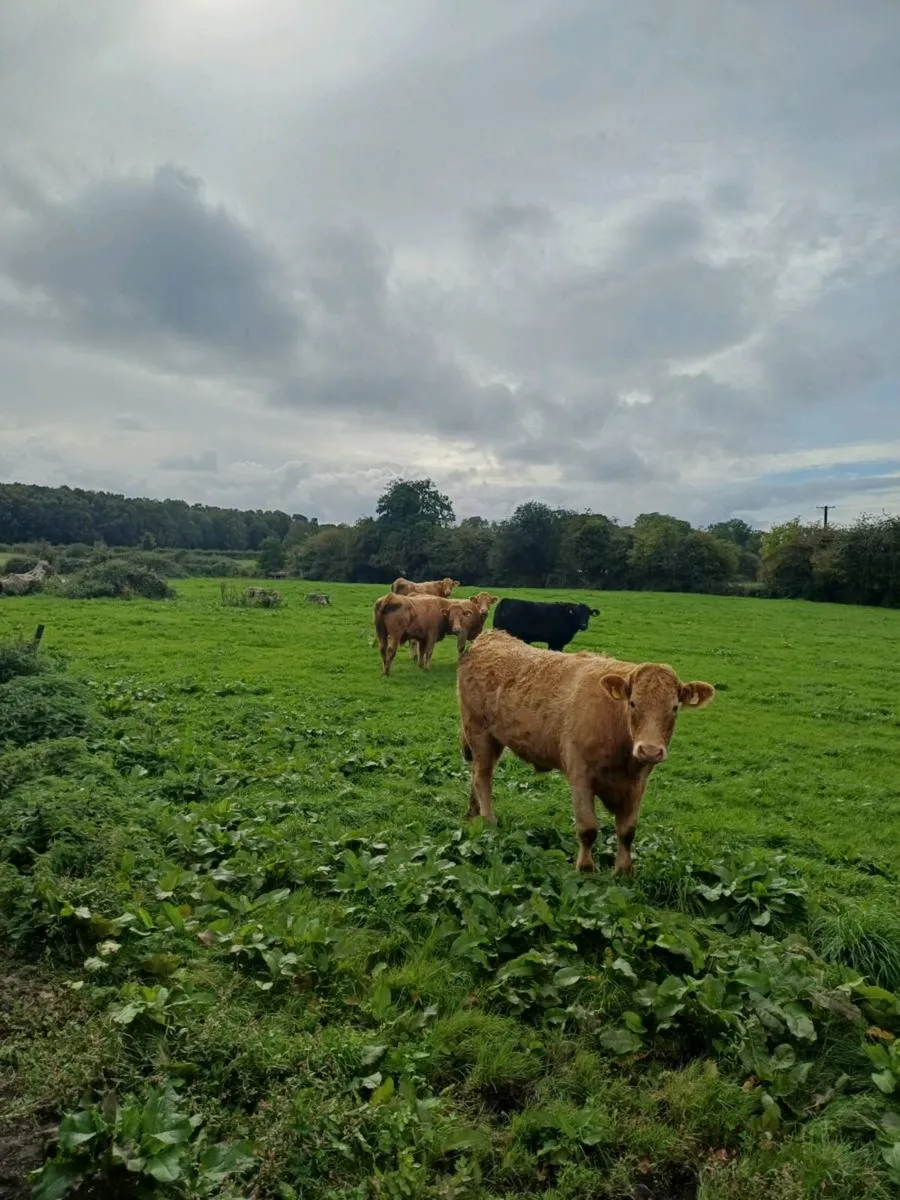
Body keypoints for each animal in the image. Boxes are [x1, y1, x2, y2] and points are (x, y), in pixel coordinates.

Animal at [456, 629, 715, 875]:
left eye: (674, 708)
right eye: (633, 703)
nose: (650, 750)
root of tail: (491, 636)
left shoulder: (638, 783)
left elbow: (627, 831)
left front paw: (624, 870)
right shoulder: (580, 776)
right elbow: (588, 828)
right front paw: (586, 868)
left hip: (493, 740)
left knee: (476, 774)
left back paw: (473, 814)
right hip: (478, 732)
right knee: (482, 778)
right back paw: (488, 821)